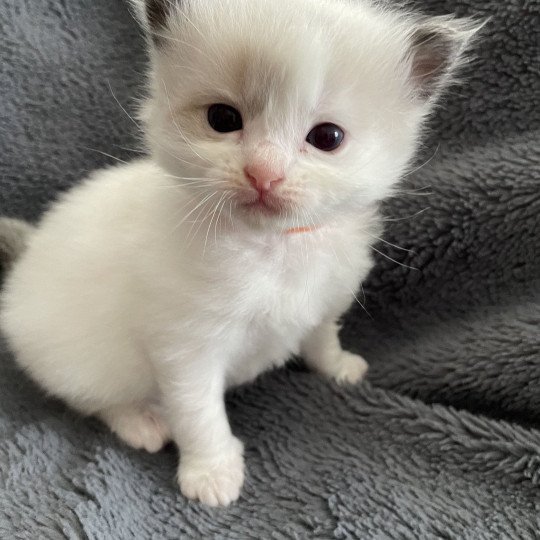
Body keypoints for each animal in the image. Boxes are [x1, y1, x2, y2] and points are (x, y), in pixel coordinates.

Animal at [2, 0, 478, 506]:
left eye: (327, 137)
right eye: (223, 119)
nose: (263, 174)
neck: (274, 245)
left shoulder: (324, 302)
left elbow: (321, 337)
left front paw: (337, 367)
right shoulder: (185, 348)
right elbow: (199, 414)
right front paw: (211, 474)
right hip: (85, 364)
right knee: (94, 400)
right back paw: (142, 423)